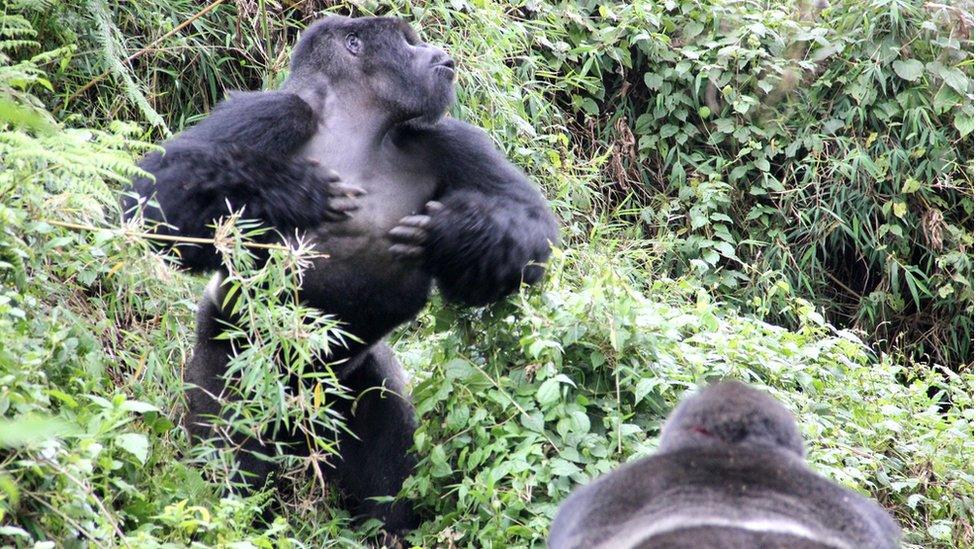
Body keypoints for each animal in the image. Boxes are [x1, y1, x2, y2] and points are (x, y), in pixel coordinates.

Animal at [124, 16, 556, 536]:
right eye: (408, 43)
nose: (439, 53)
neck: (360, 126)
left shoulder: (448, 137)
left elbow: (531, 229)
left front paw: (457, 234)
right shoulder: (271, 111)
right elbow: (154, 202)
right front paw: (289, 191)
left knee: (386, 472)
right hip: (228, 357)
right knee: (228, 456)